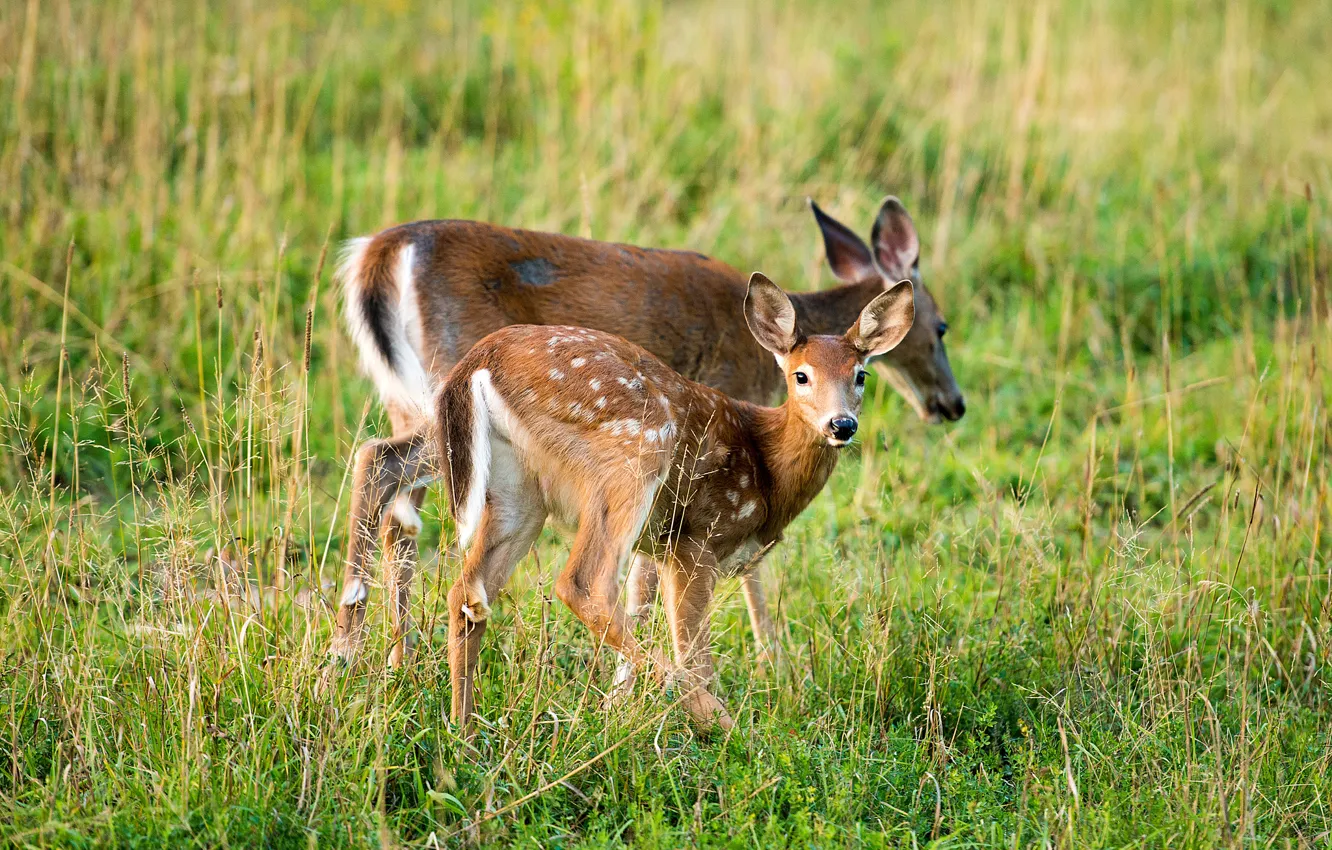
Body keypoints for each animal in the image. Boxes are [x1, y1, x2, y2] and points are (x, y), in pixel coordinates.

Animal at [328, 197, 963, 669]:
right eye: (941, 327)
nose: (952, 404)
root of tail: (377, 255)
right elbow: (722, 567)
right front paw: (775, 663)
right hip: (452, 392)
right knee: (380, 463)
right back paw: (350, 650)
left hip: (413, 400)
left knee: (397, 500)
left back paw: (391, 655)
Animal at [433, 273, 915, 732]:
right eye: (802, 375)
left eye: (860, 375)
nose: (842, 425)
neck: (767, 470)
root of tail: (482, 358)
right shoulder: (695, 539)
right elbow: (695, 654)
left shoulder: (661, 547)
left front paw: (618, 707)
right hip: (634, 452)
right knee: (584, 584)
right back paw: (728, 727)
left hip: (519, 489)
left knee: (468, 594)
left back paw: (465, 732)